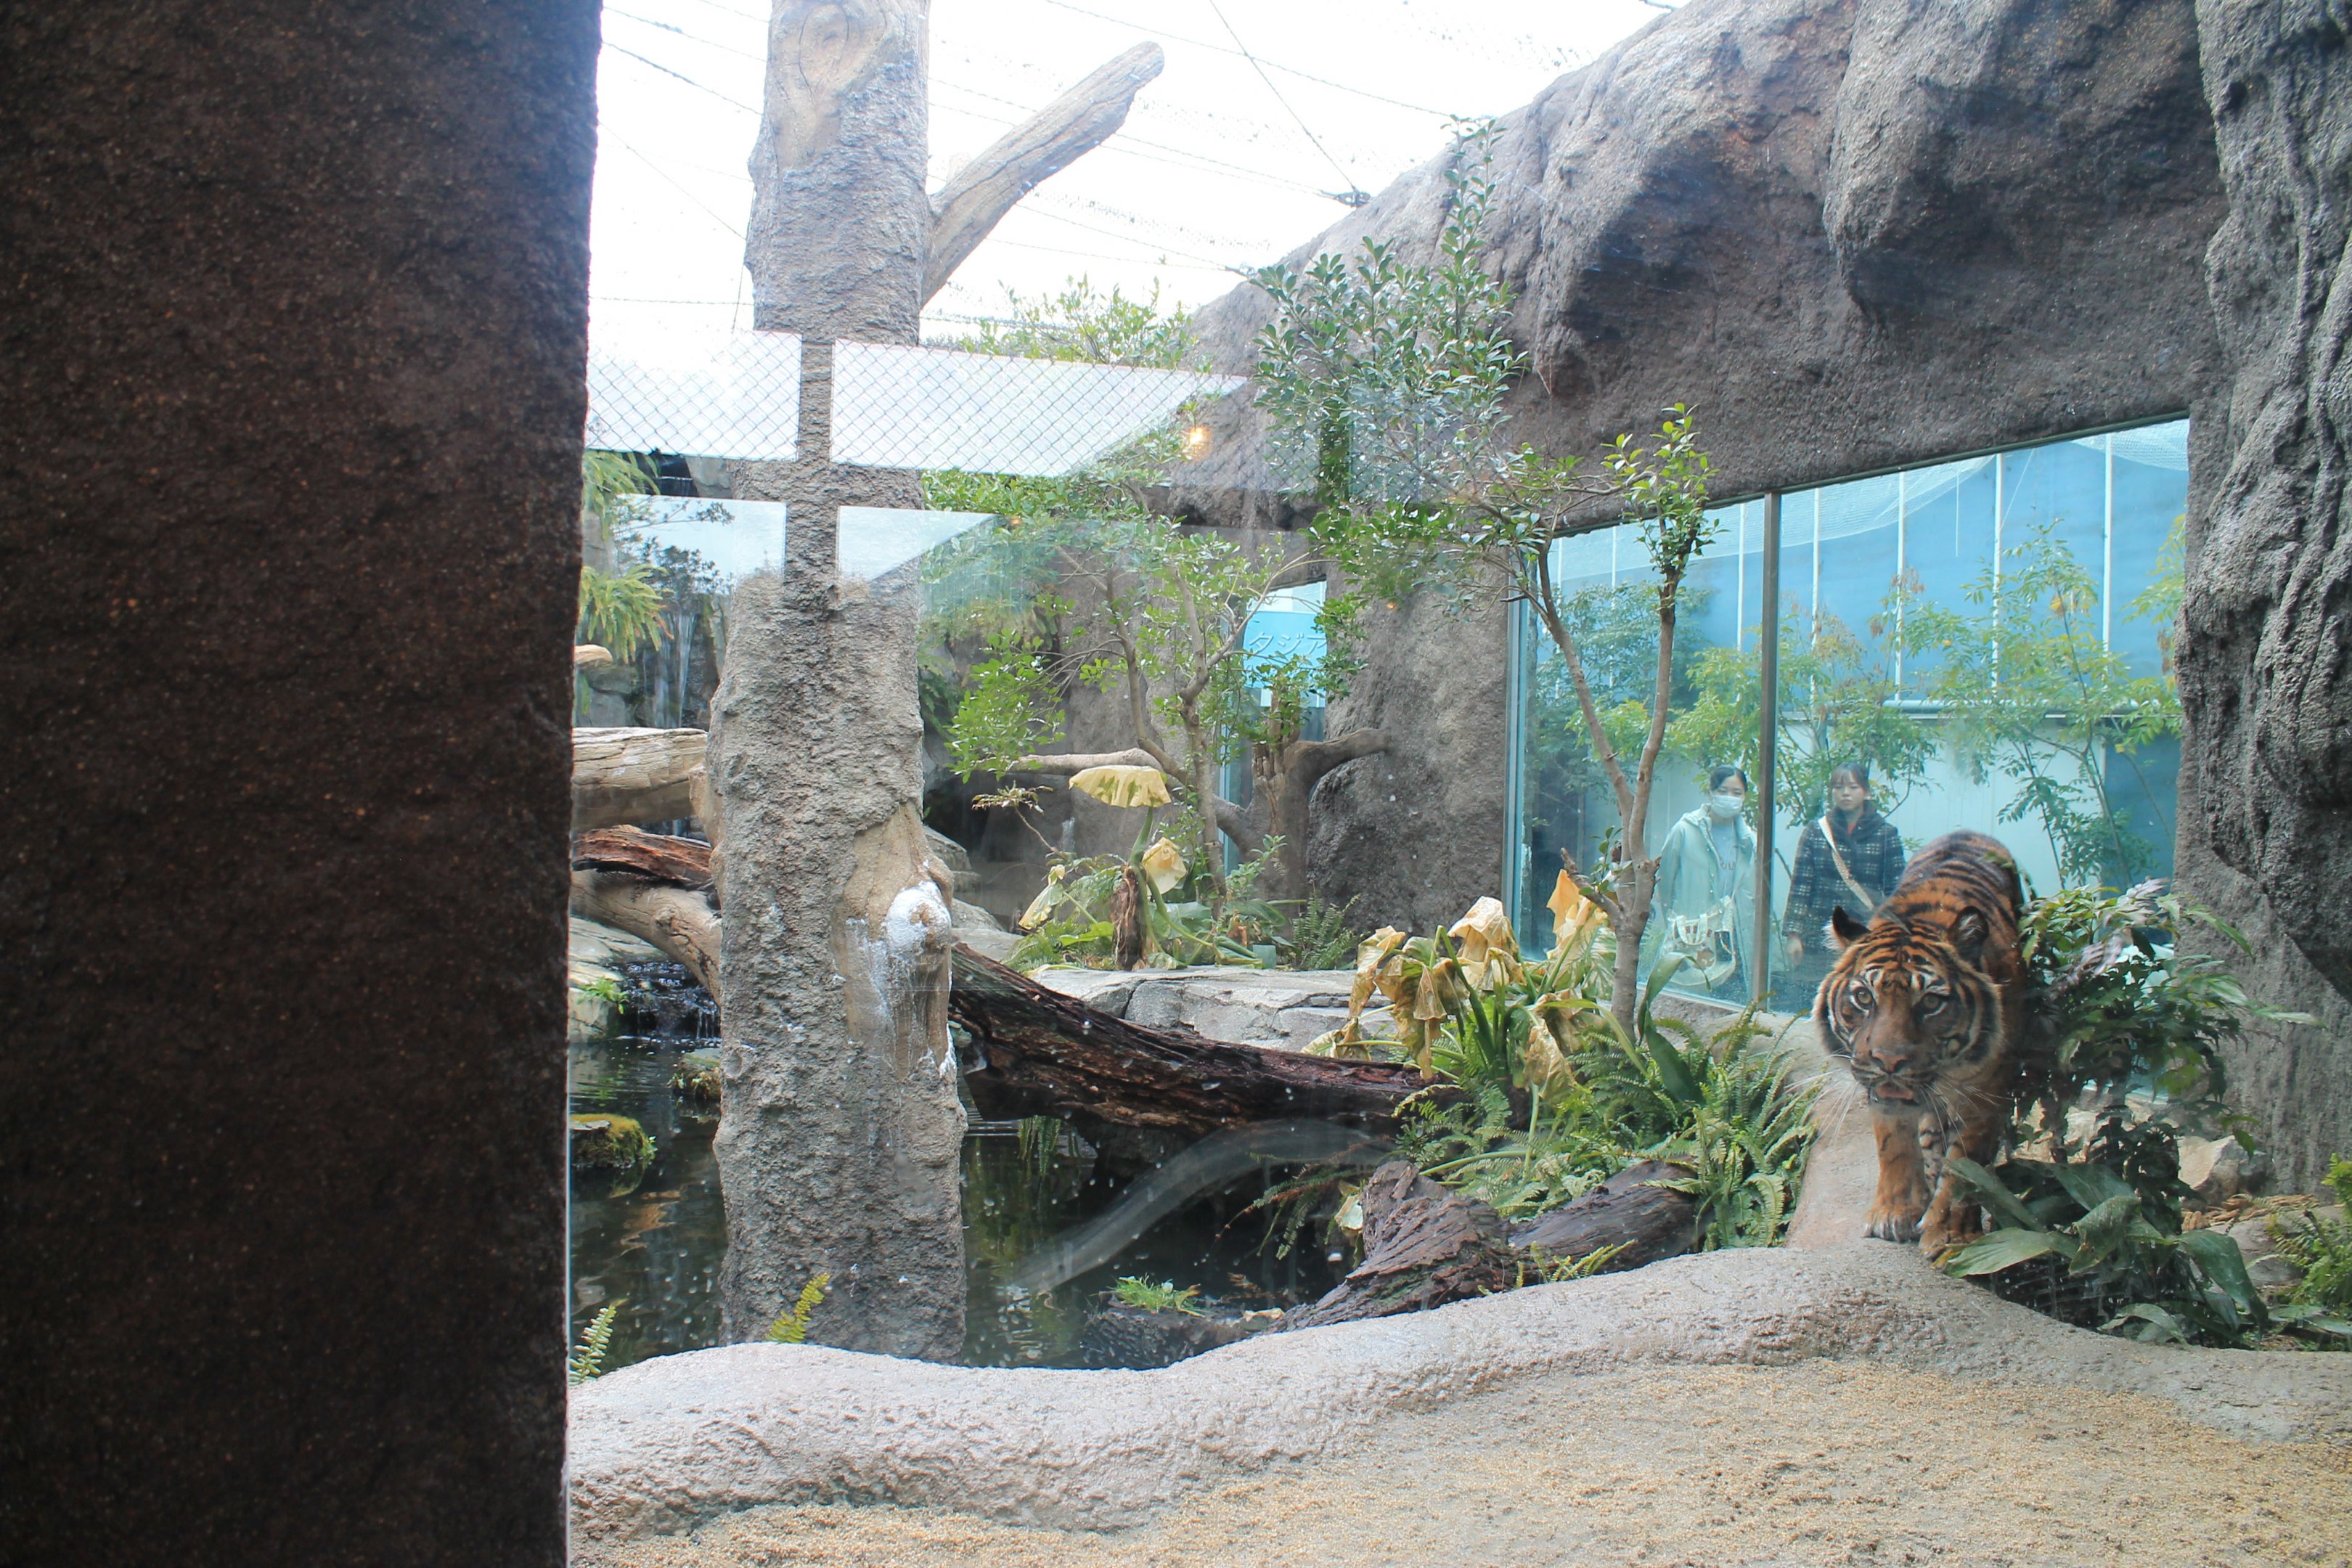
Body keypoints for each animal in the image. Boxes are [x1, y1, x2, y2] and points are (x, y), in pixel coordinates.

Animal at [1813, 830, 2028, 1253]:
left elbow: (1965, 1167)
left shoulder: (1987, 1091)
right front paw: (1895, 1212)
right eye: (1864, 998)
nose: (1889, 1062)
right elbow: (1894, 1144)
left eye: (1930, 1002)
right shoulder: (1879, 1089)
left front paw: (1950, 1233)